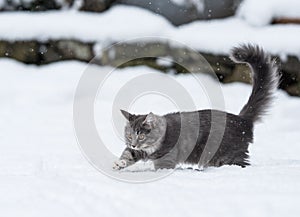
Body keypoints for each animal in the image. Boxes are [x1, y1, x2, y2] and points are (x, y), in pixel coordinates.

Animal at [112, 43, 278, 171]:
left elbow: (161, 167)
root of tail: (242, 119)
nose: (133, 144)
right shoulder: (138, 151)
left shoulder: (166, 158)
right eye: (129, 136)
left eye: (141, 136)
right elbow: (128, 154)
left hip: (229, 155)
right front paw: (119, 163)